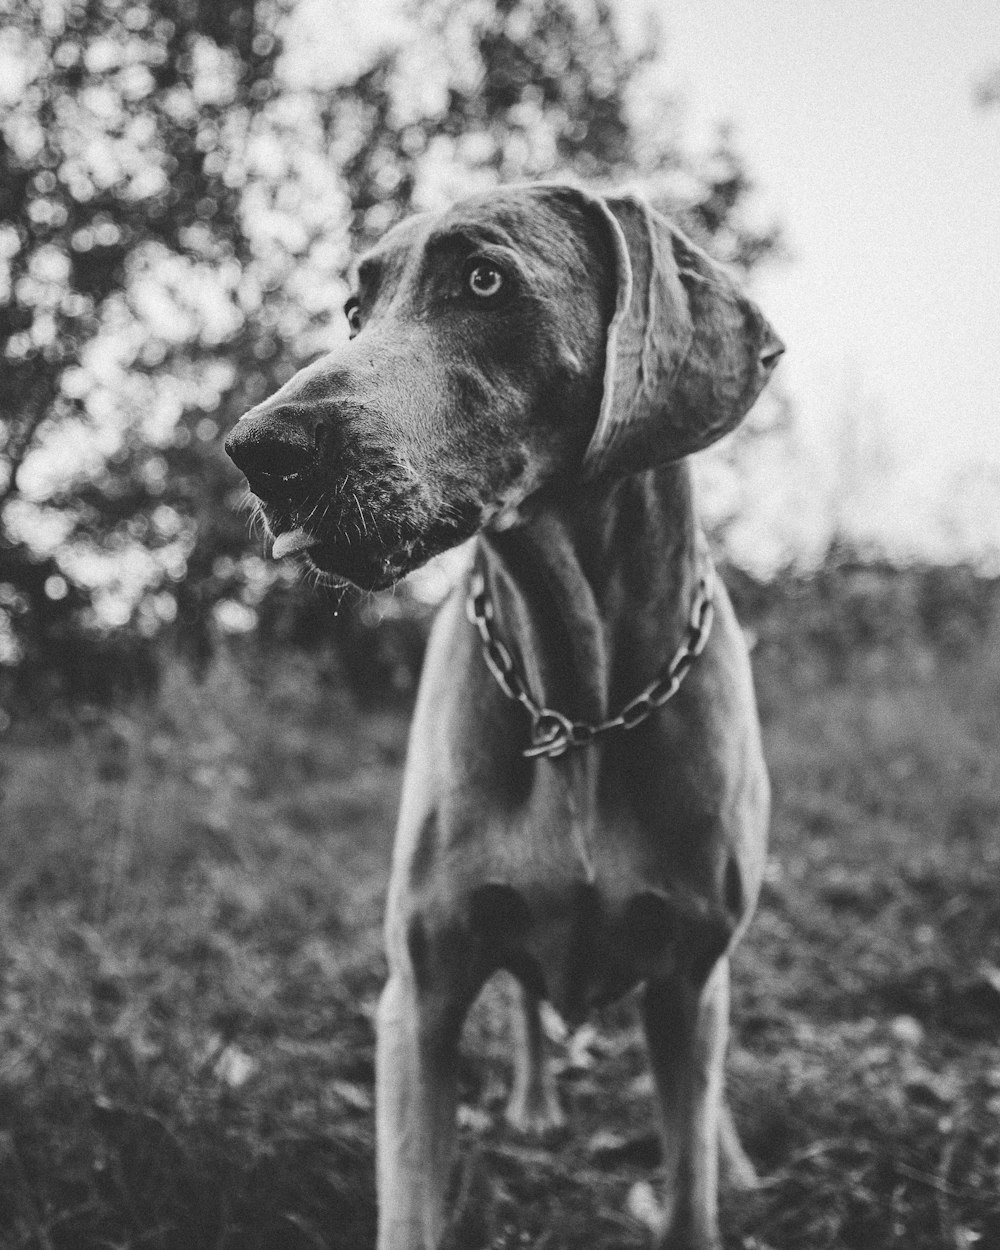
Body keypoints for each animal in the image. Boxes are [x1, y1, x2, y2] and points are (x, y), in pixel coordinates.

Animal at [225, 178, 780, 1250]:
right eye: (354, 308)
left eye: (483, 281)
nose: (258, 450)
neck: (580, 699)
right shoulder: (419, 996)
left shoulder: (689, 973)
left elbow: (689, 1174)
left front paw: (716, 1166)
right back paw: (531, 1102)